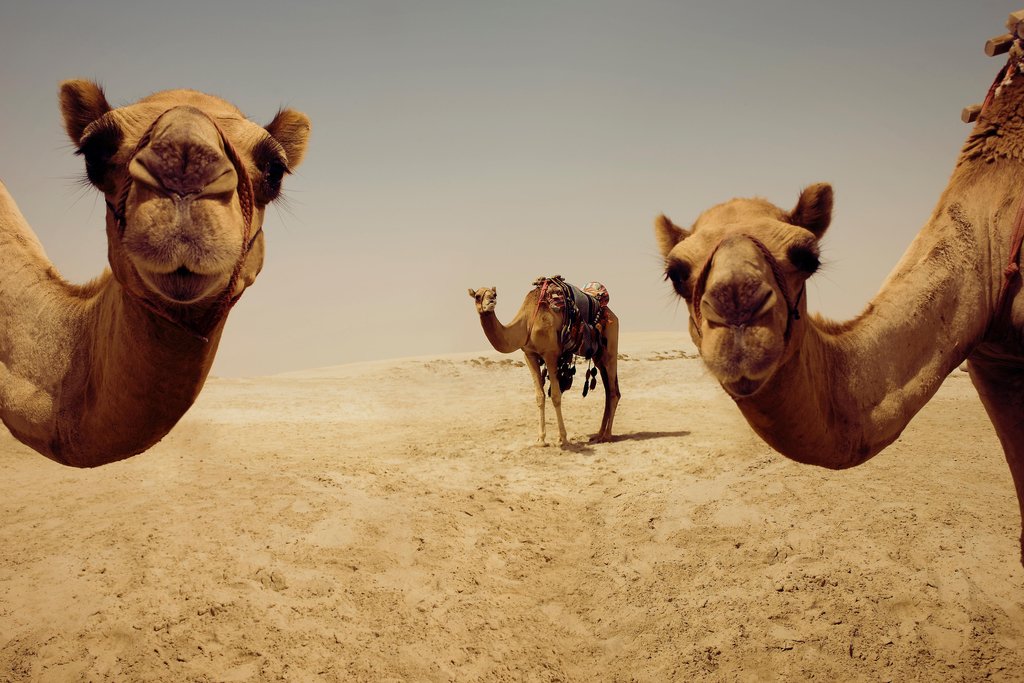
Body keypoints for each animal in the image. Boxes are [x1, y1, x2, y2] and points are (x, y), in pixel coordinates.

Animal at [468, 278, 620, 445]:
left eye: (495, 294)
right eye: (477, 296)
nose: (490, 301)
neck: (527, 323)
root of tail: (611, 313)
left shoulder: (550, 354)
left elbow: (555, 396)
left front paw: (563, 438)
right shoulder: (529, 355)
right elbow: (539, 396)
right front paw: (541, 439)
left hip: (610, 347)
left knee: (613, 392)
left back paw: (607, 436)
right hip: (598, 356)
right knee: (609, 391)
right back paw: (599, 434)